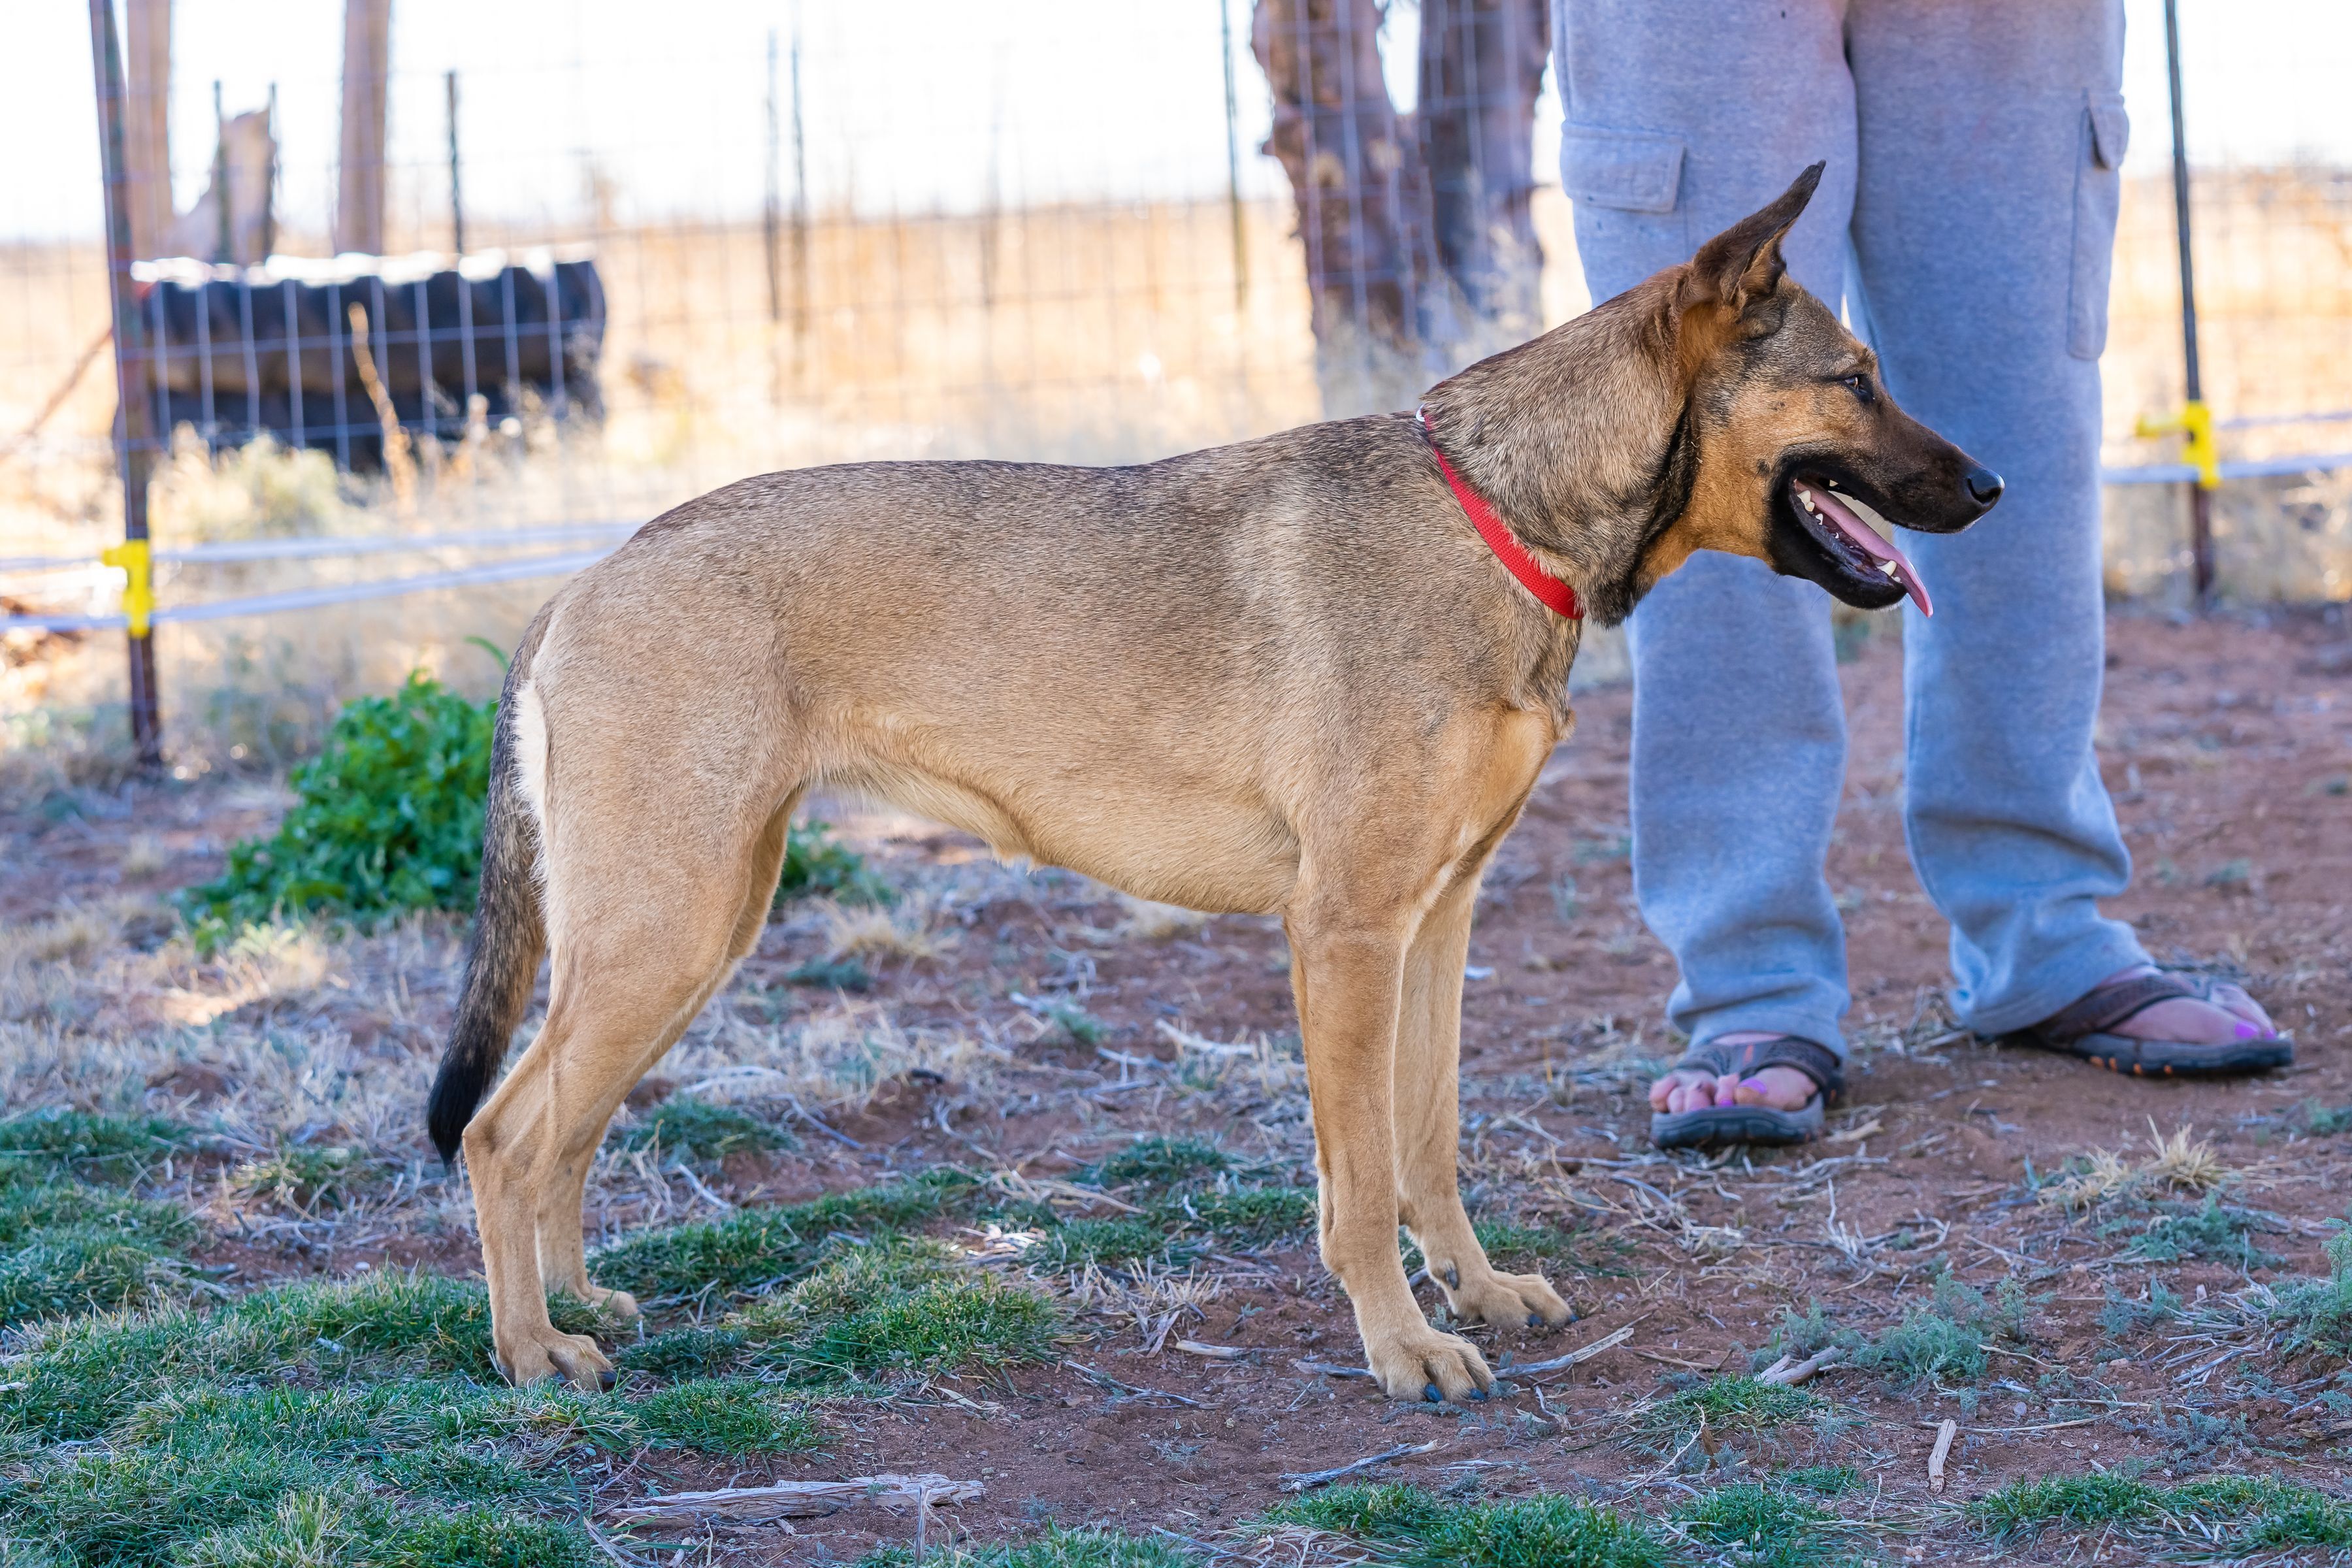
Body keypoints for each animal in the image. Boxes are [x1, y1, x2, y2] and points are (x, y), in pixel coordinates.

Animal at [428, 169, 2004, 1401]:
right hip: (670, 929)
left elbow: (1426, 1148)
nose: (1993, 489)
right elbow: (1361, 1182)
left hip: (687, 934)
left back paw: (577, 1303)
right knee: (504, 1137)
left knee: (563, 1135)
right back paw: (533, 1353)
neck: (1496, 512)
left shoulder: (1437, 925)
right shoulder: (1347, 935)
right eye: (1857, 378)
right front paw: (1403, 1349)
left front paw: (1474, 1293)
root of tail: (583, 584)